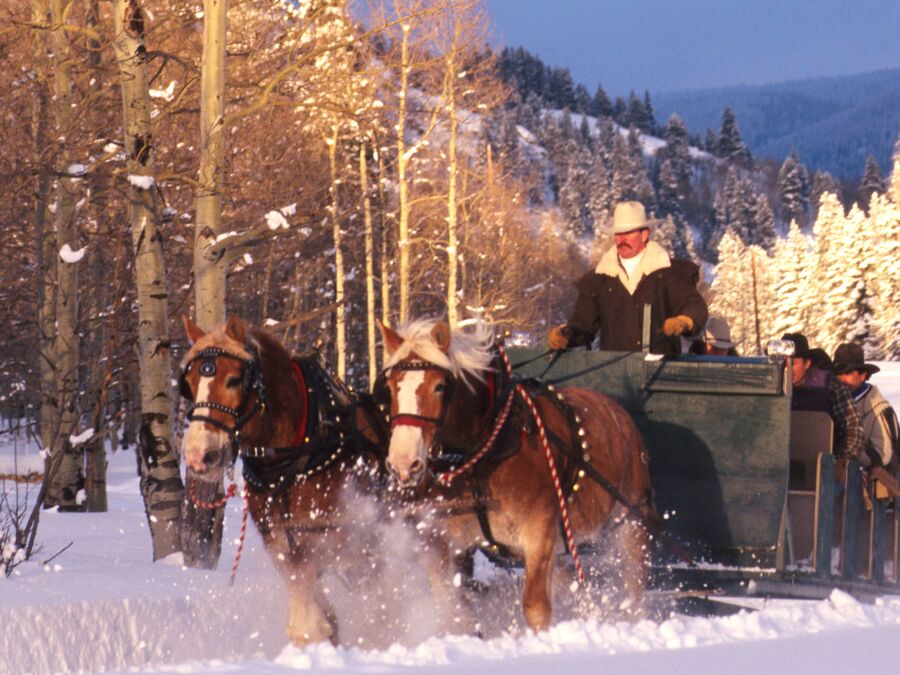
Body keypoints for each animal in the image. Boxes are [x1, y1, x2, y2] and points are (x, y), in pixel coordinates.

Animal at [179, 315, 388, 646]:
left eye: (234, 380)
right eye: (189, 384)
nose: (199, 454)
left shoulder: (350, 545)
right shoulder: (285, 549)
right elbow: (315, 618)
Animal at [377, 317, 656, 632]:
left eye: (439, 386)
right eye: (391, 387)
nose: (403, 462)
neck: (489, 446)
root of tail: (622, 417)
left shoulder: (539, 532)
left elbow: (536, 609)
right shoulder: (447, 542)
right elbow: (454, 608)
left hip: (631, 524)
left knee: (633, 591)